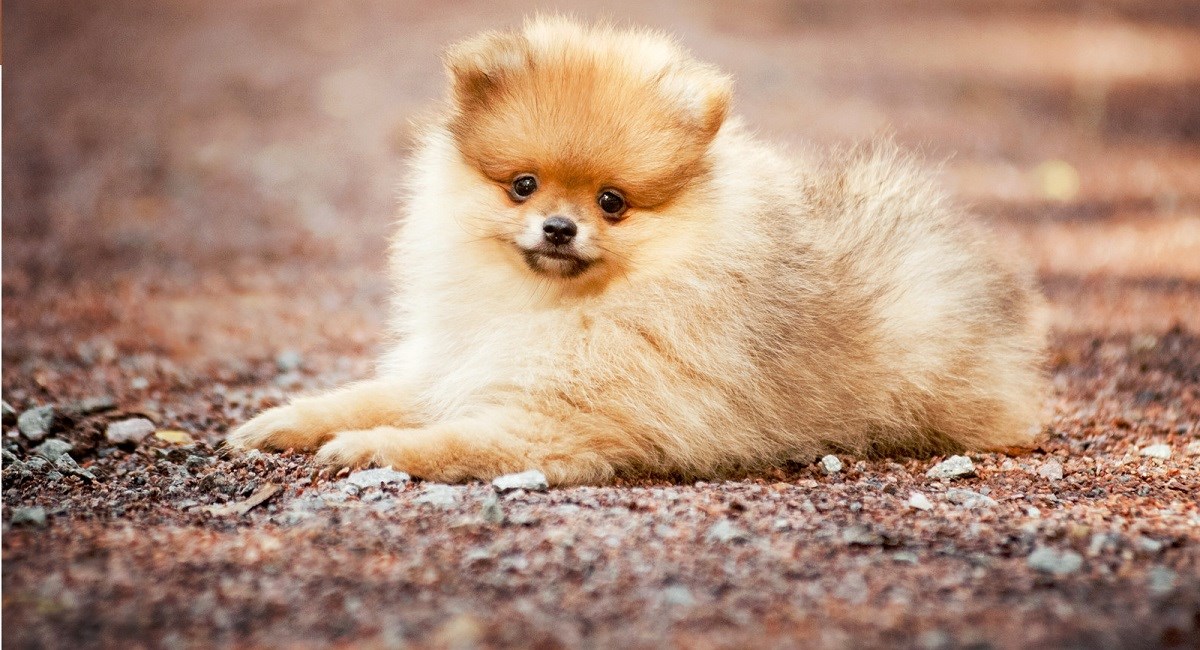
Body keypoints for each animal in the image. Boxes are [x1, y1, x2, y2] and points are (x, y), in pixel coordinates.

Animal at [226, 16, 1051, 484]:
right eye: (523, 186)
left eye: (612, 202)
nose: (560, 227)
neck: (545, 305)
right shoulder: (453, 365)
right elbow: (370, 393)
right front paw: (282, 422)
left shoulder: (569, 423)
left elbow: (448, 440)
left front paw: (364, 448)